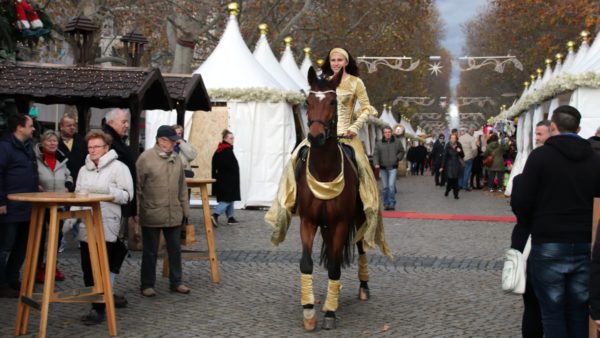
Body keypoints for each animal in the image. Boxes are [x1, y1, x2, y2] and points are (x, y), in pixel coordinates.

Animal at [296, 67, 370, 332]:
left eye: (333, 102)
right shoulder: (308, 222)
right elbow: (306, 263)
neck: (324, 172)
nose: (316, 136)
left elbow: (336, 267)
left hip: (359, 218)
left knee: (361, 248)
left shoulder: (340, 224)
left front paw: (329, 312)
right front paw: (309, 312)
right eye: (307, 102)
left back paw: (364, 287)